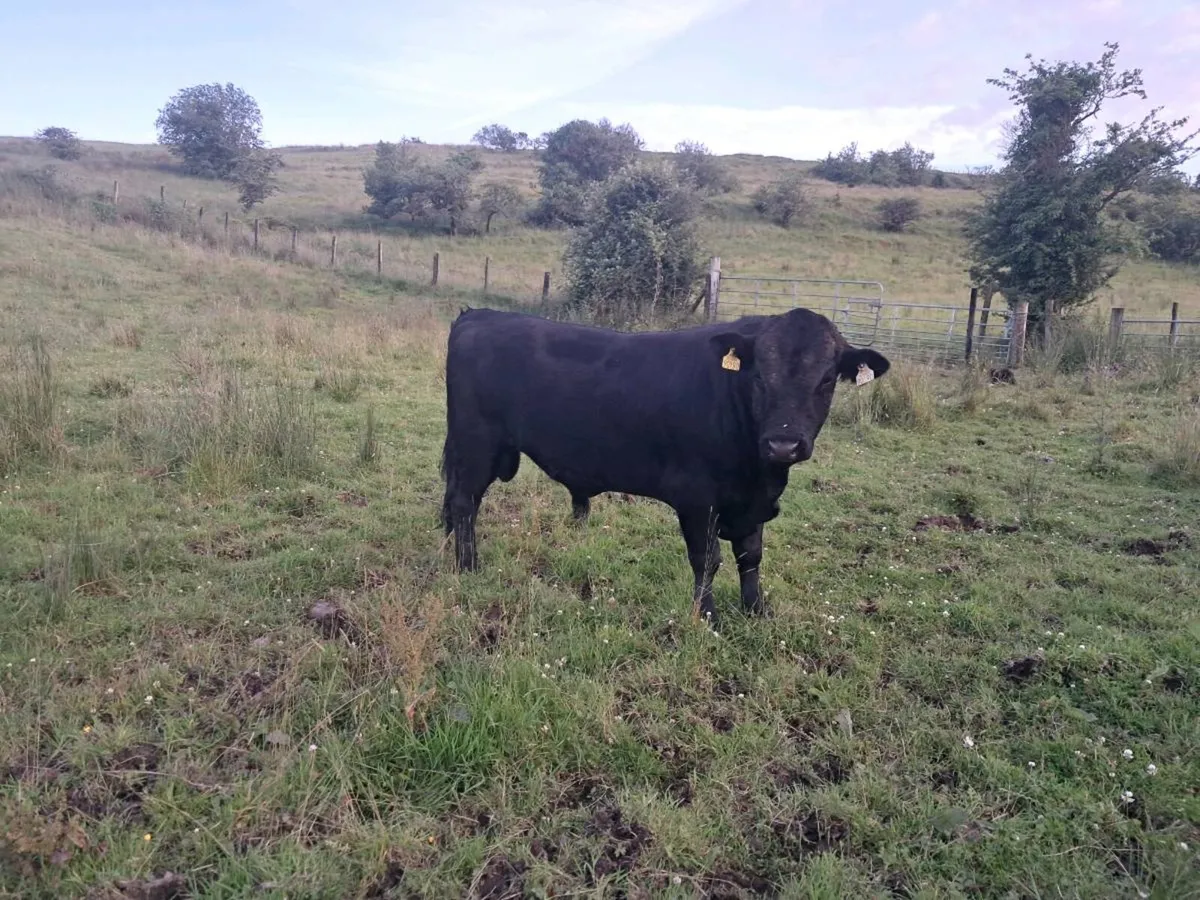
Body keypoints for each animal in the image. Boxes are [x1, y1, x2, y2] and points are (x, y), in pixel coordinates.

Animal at [439, 306, 890, 628]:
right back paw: (468, 566)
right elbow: (706, 559)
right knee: (464, 504)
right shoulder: (697, 499)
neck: (759, 474)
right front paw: (708, 617)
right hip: (477, 445)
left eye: (827, 379)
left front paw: (756, 610)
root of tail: (479, 314)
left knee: (452, 502)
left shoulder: (752, 504)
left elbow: (751, 556)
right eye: (760, 376)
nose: (783, 444)